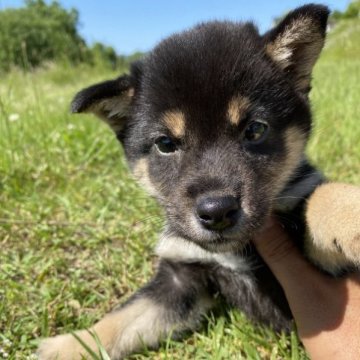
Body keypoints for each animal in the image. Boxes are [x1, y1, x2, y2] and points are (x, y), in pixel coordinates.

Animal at [39, 3, 360, 360]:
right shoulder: (182, 278)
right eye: (165, 144)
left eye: (255, 129)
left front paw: (349, 214)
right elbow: (121, 319)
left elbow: (318, 197)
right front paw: (65, 346)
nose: (217, 211)